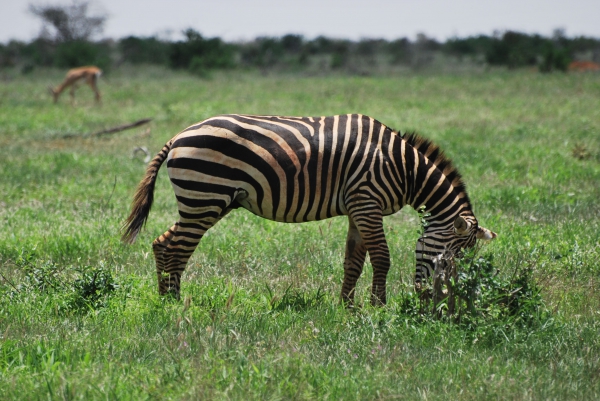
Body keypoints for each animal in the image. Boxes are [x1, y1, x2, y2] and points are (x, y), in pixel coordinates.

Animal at [119, 114, 494, 304]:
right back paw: (174, 303)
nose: (437, 304)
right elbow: (382, 258)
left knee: (163, 243)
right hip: (205, 197)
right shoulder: (367, 201)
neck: (405, 169)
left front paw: (346, 307)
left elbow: (353, 261)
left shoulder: (358, 208)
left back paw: (166, 300)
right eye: (448, 260)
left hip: (209, 201)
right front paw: (378, 307)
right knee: (177, 247)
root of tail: (180, 134)